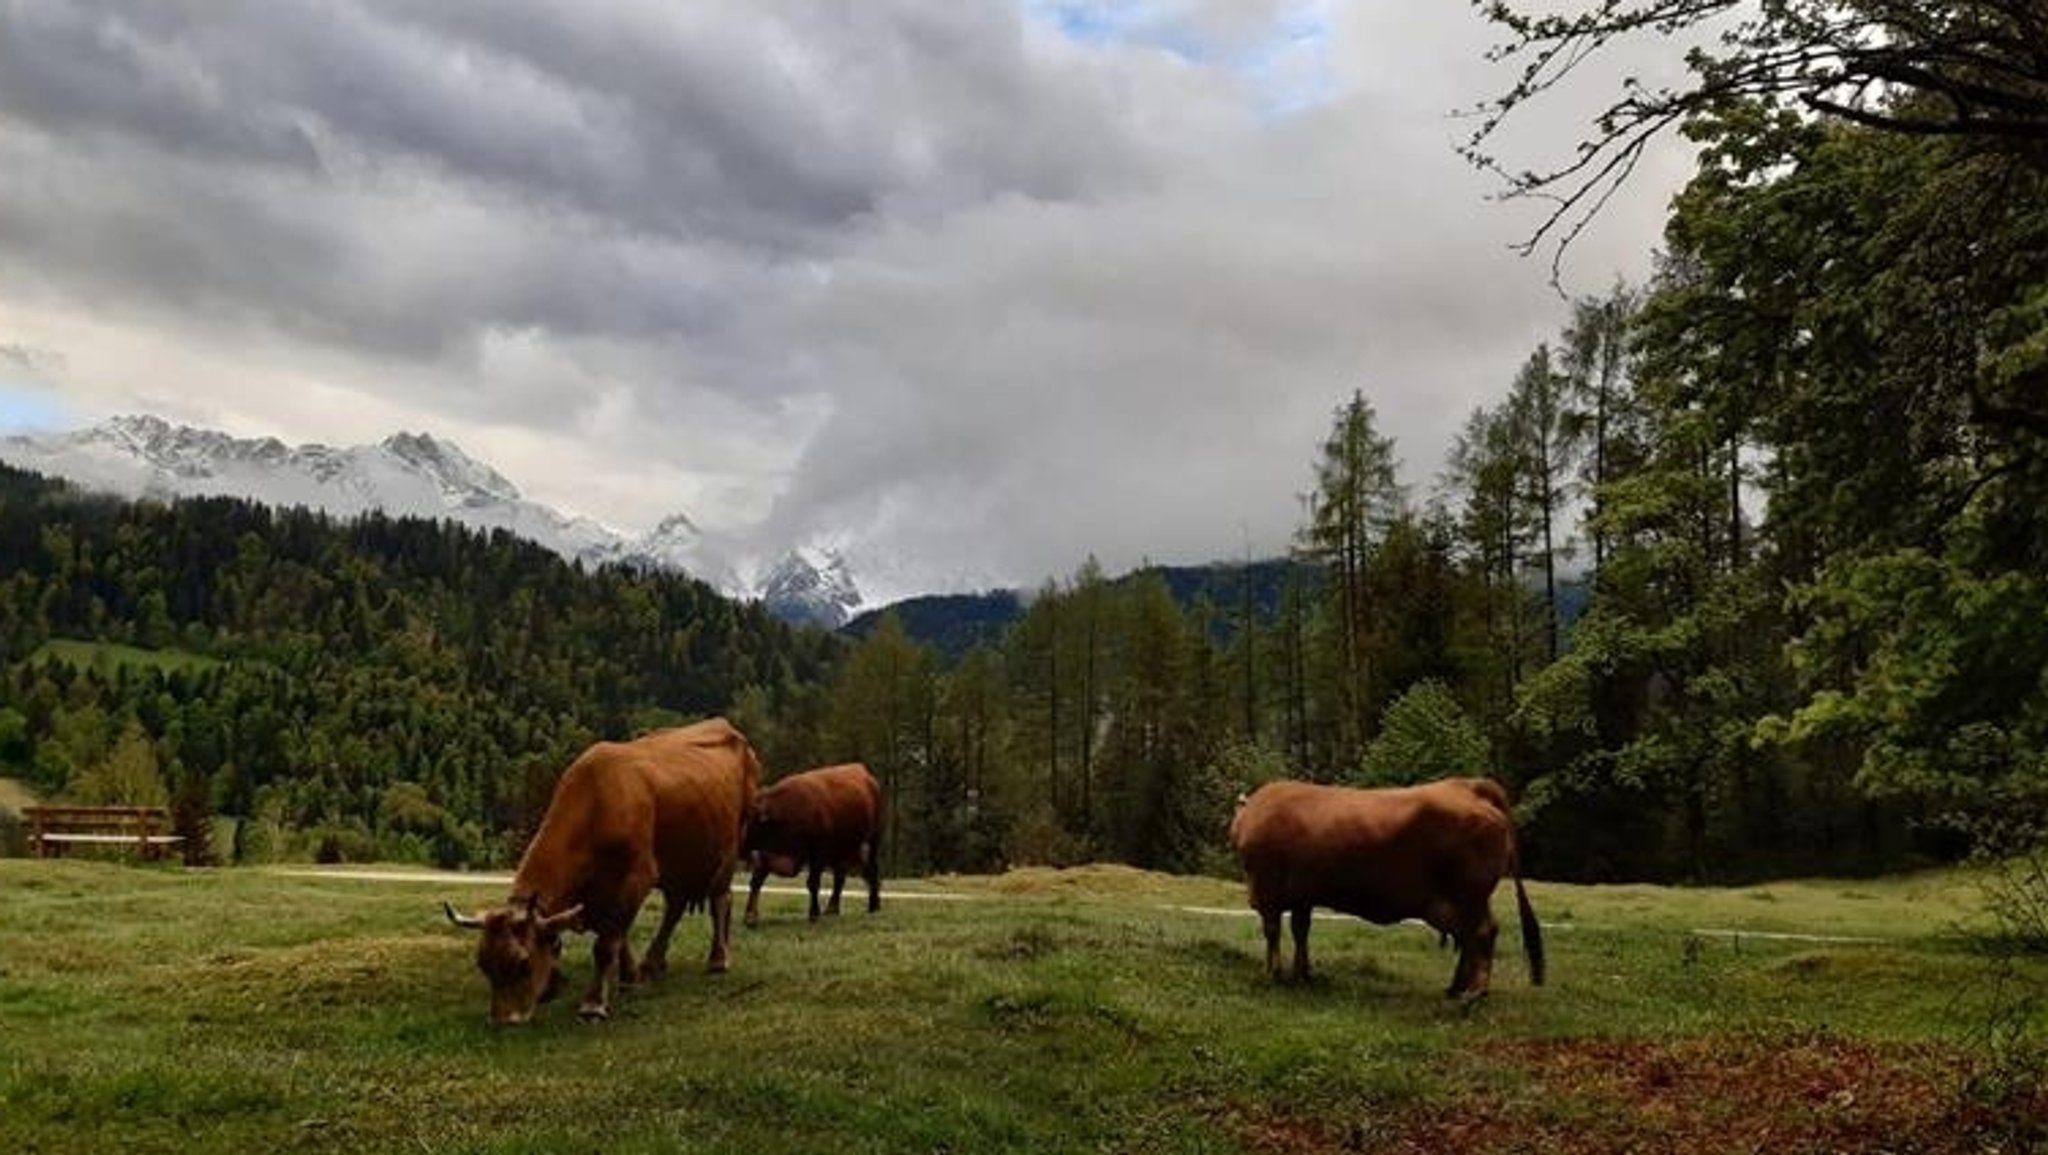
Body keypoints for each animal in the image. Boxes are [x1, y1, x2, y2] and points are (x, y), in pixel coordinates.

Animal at [442, 716, 761, 1023]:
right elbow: (619, 937)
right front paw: (630, 976)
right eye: (483, 964)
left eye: (523, 963)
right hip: (680, 862)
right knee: (676, 905)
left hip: (731, 845)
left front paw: (594, 1004)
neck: (596, 806)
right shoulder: (600, 894)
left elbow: (607, 943)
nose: (503, 1020)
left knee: (719, 900)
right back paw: (653, 962)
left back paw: (718, 959)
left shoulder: (636, 878)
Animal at [745, 761, 888, 925]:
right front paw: (750, 916)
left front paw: (814, 913)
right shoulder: (764, 857)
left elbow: (813, 883)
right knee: (842, 876)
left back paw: (873, 905)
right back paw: (833, 908)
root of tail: (863, 771)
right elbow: (755, 882)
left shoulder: (818, 854)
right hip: (842, 848)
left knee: (872, 869)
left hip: (873, 839)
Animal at [1220, 774, 1540, 991]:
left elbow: (1272, 932)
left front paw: (1272, 973)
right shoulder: (1303, 896)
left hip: (1467, 895)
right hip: (1470, 898)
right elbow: (1301, 932)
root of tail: (1468, 786)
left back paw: (1472, 993)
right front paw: (1302, 973)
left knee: (1481, 933)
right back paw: (1457, 988)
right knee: (1474, 936)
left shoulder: (1266, 891)